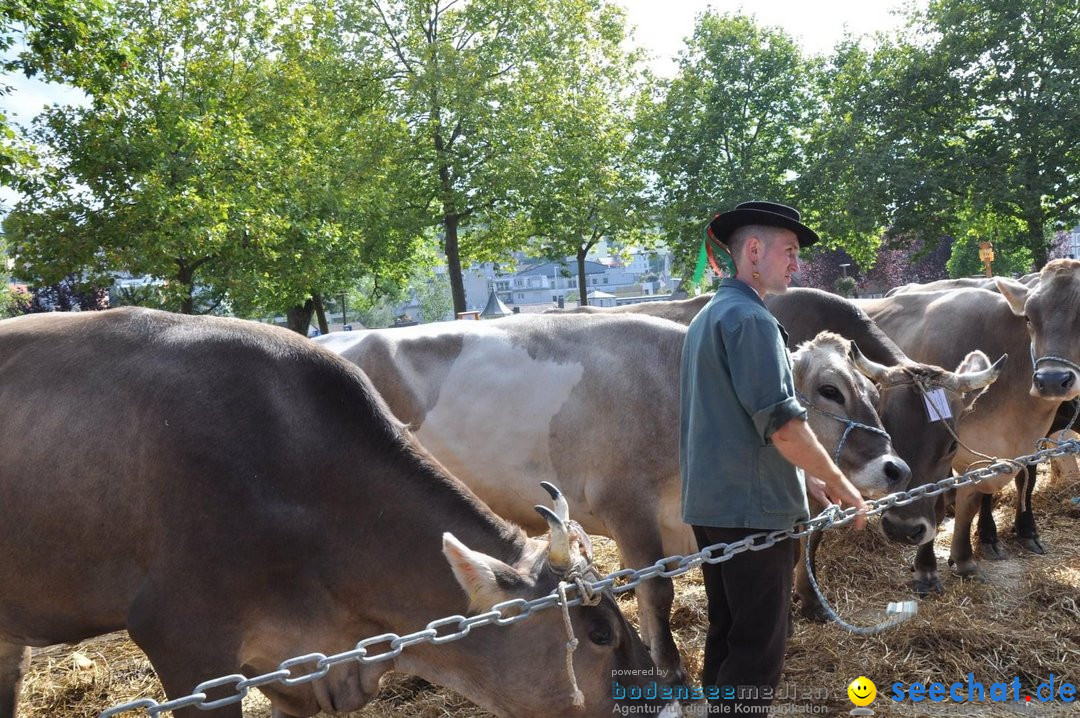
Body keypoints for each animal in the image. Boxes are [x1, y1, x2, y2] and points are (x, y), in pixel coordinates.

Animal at [317, 317, 911, 682]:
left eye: (873, 390)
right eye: (831, 391)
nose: (896, 468)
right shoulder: (629, 509)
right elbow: (657, 592)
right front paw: (671, 670)